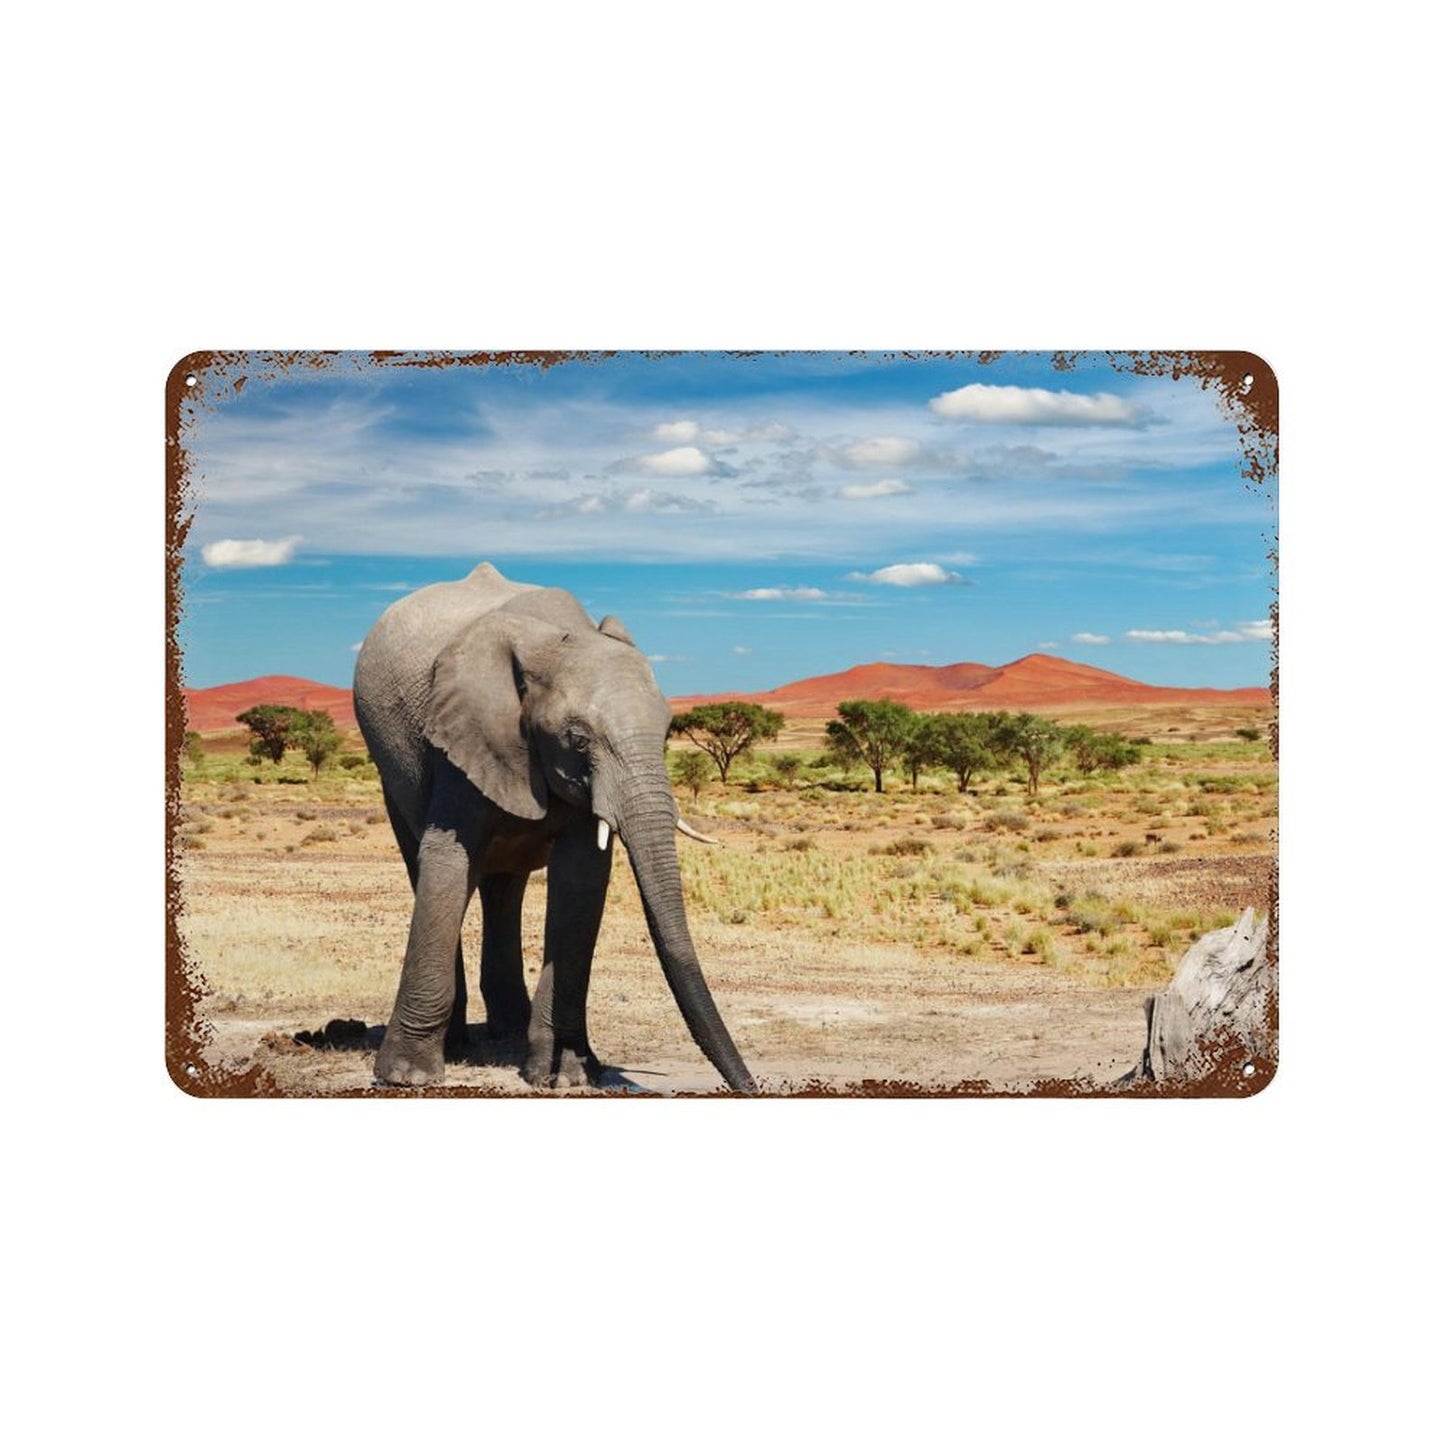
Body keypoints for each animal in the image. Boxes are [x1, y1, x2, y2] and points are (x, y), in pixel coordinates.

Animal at [352, 562, 756, 1093]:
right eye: (577, 739)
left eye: (668, 732)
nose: (750, 1087)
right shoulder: (464, 737)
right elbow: (448, 862)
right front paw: (407, 1077)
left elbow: (581, 880)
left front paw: (564, 1076)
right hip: (391, 770)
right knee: (426, 866)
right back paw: (459, 1044)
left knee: (504, 889)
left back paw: (508, 1033)